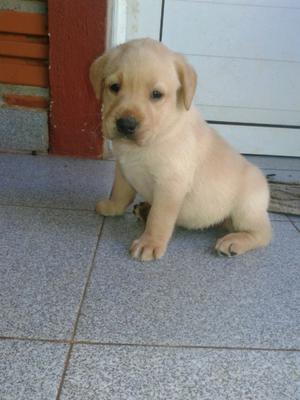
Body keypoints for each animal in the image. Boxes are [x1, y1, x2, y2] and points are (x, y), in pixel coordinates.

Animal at [89, 39, 272, 260]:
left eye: (156, 95)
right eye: (114, 87)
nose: (126, 124)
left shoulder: (170, 184)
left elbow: (160, 218)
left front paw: (150, 242)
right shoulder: (123, 169)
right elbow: (120, 192)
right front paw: (113, 206)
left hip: (246, 209)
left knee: (263, 233)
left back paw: (235, 241)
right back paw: (144, 209)